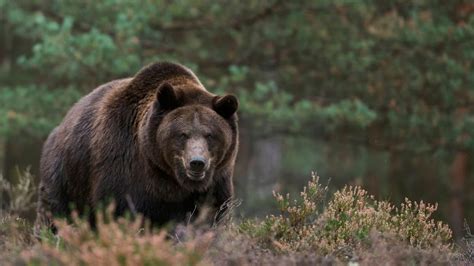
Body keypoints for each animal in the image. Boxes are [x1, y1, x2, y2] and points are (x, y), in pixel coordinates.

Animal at [35, 61, 239, 234]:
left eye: (210, 134)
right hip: (65, 174)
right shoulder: (124, 169)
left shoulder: (215, 181)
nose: (197, 162)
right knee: (55, 210)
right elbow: (121, 212)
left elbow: (211, 214)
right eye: (183, 134)